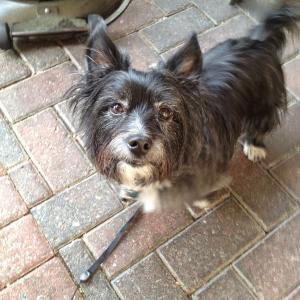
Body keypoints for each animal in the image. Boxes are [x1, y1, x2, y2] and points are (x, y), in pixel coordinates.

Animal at [67, 0, 298, 211]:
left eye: (166, 112)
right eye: (116, 107)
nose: (139, 144)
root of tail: (259, 41)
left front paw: (201, 198)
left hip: (265, 102)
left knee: (261, 123)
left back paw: (255, 145)